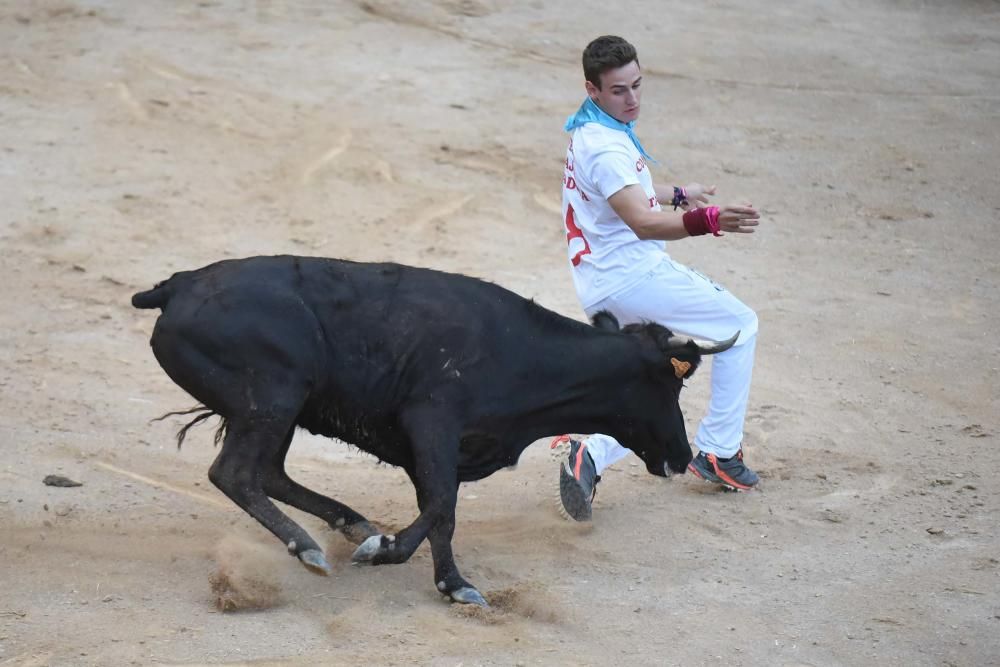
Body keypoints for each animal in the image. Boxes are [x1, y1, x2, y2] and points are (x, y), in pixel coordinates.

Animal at [133, 254, 740, 604]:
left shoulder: (434, 445)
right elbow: (443, 506)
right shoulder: (431, 426)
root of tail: (179, 285)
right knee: (236, 473)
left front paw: (453, 584)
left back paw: (348, 522)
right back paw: (309, 547)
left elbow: (440, 510)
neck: (524, 355)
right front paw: (383, 551)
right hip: (274, 395)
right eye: (673, 384)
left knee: (269, 473)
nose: (681, 454)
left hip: (284, 406)